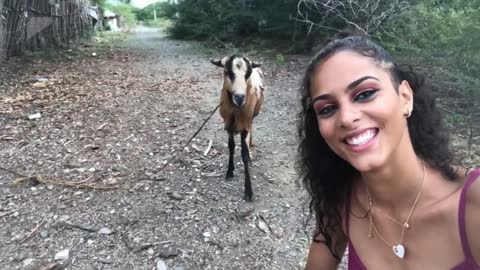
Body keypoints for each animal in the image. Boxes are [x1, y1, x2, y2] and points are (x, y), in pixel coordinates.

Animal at [211, 54, 264, 200]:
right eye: (228, 72)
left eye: (248, 74)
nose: (240, 98)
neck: (235, 110)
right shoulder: (228, 124)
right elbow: (231, 147)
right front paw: (229, 171)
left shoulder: (244, 124)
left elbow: (244, 155)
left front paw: (248, 191)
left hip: (251, 117)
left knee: (251, 128)